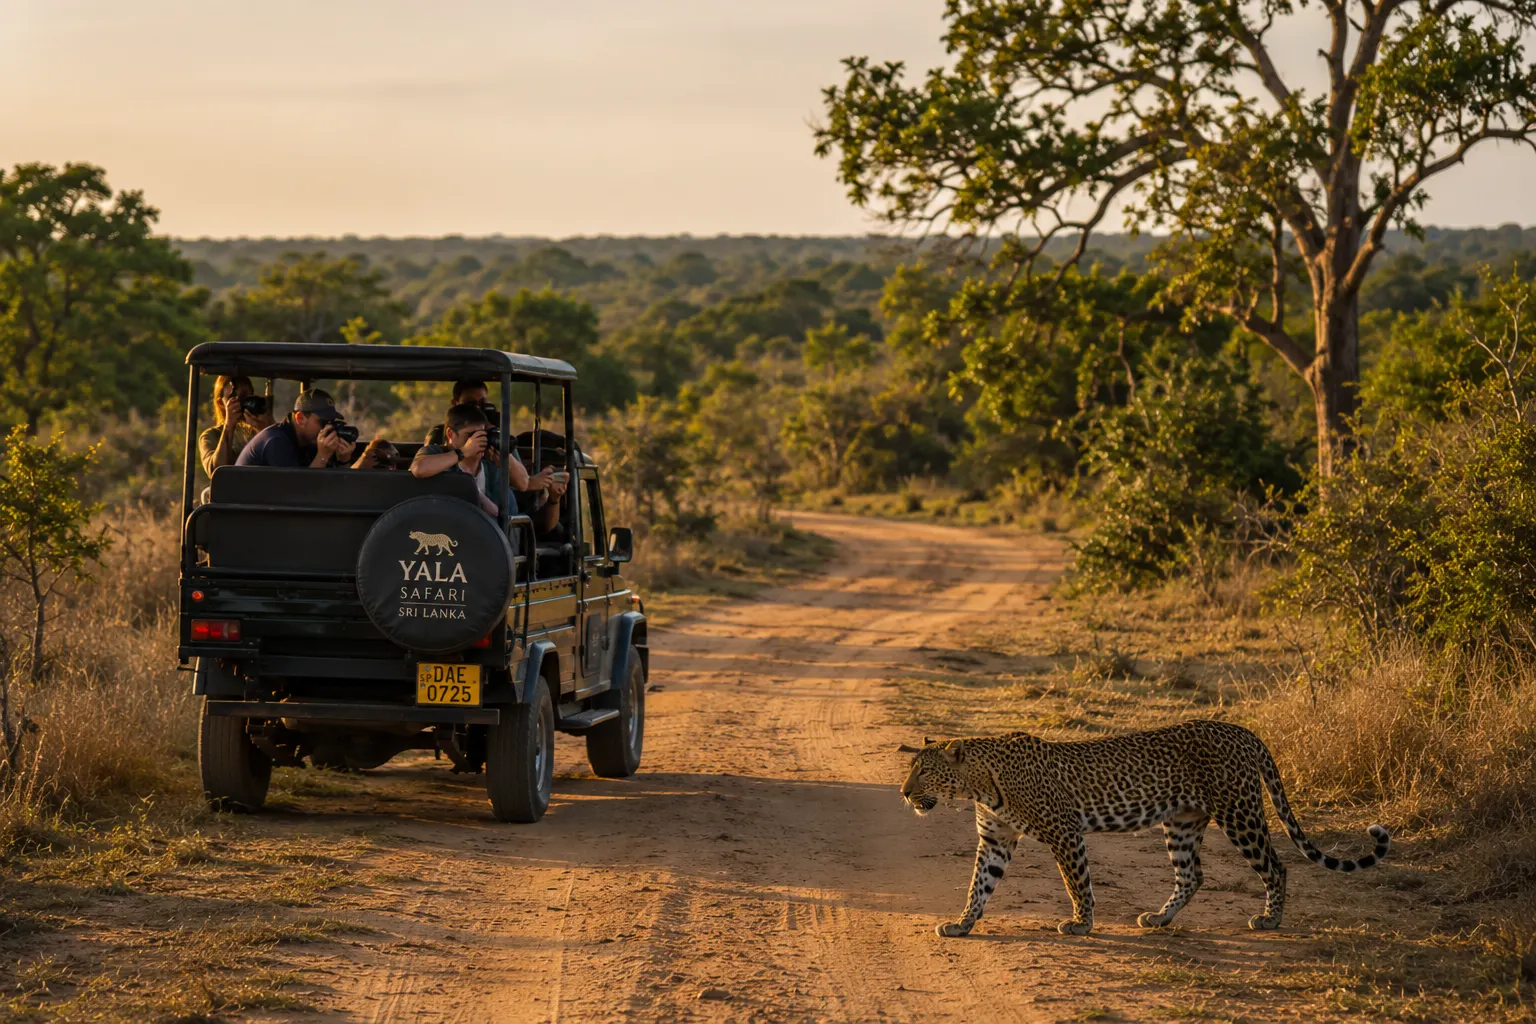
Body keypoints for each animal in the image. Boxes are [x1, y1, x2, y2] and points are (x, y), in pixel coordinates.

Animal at [899, 720, 1390, 938]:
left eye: (924, 771)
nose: (904, 793)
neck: (980, 783)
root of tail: (1244, 731)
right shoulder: (995, 840)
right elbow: (978, 885)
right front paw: (962, 924)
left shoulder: (1064, 832)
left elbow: (1077, 882)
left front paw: (1081, 924)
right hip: (1182, 823)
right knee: (1192, 875)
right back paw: (1159, 918)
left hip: (1240, 813)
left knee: (1275, 866)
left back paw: (1270, 919)